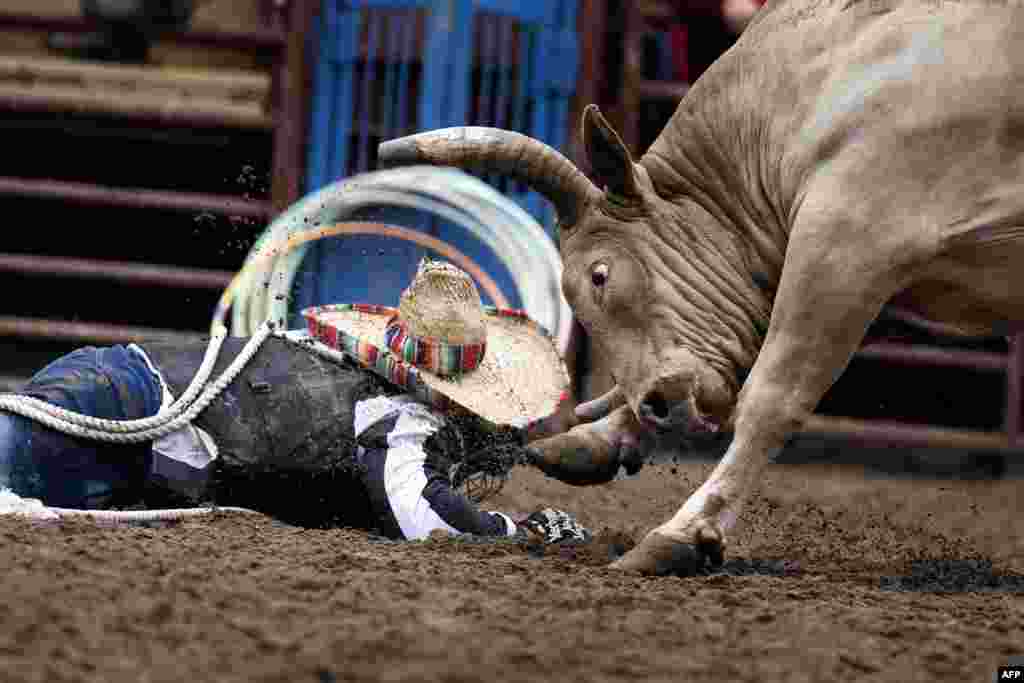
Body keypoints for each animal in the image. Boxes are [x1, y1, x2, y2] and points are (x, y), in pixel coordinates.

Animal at [376, 0, 1024, 577]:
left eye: (599, 276)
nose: (662, 407)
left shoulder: (850, 238)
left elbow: (773, 396)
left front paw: (682, 534)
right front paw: (598, 437)